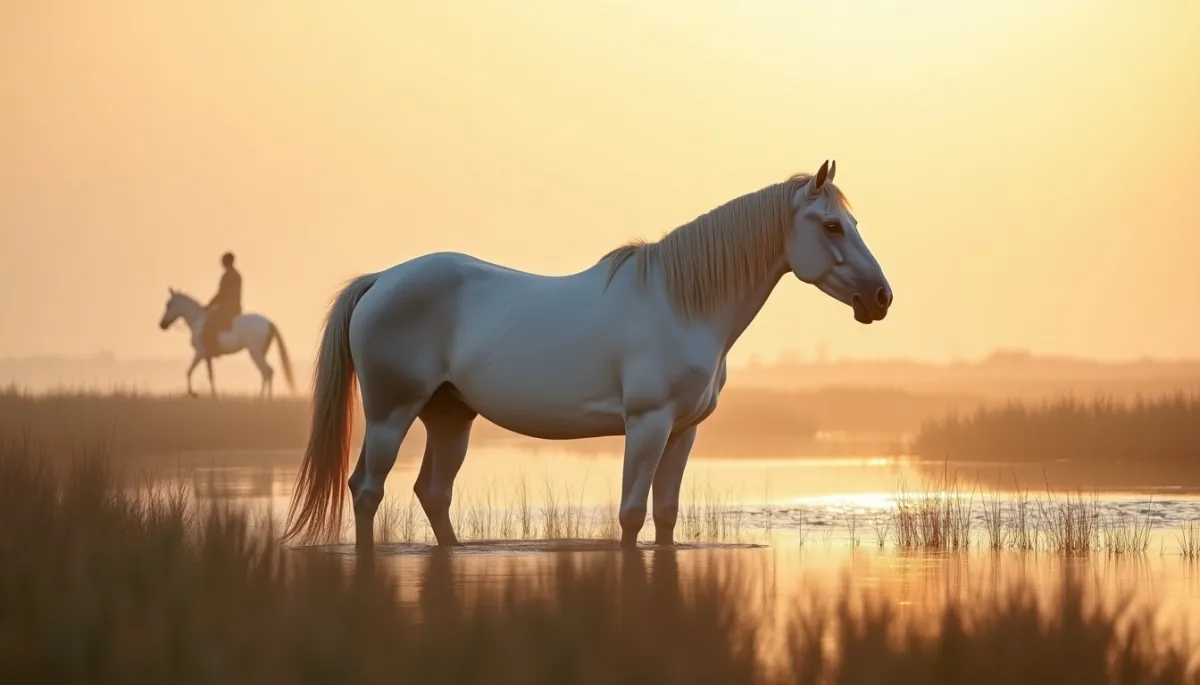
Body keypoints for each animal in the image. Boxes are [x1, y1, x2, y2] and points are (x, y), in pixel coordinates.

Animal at [158, 289, 296, 399]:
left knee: (266, 371)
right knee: (268, 372)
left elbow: (195, 373)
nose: (162, 325)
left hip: (255, 353)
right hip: (262, 353)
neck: (197, 320)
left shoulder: (201, 353)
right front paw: (208, 395)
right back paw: (266, 398)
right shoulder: (206, 356)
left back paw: (262, 399)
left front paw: (197, 394)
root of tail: (268, 322)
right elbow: (203, 374)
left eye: (168, 304)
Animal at [283, 160, 892, 553]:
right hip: (391, 413)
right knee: (368, 491)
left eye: (854, 223)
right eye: (832, 225)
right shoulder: (647, 424)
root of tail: (381, 279)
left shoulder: (683, 431)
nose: (881, 298)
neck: (681, 305)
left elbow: (664, 517)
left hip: (450, 417)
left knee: (432, 494)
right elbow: (630, 515)